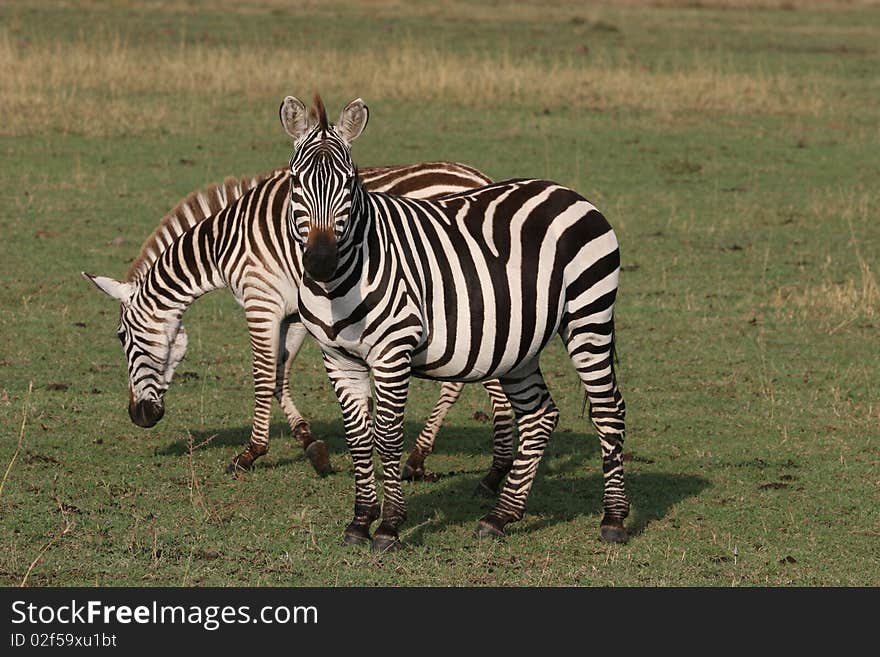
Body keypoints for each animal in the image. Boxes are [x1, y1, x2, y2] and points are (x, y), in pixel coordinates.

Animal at [82, 161, 516, 482]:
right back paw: (421, 458)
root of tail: (481, 178)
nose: (138, 417)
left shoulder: (261, 301)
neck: (225, 244)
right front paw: (314, 447)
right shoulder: (293, 313)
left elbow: (262, 375)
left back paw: (493, 470)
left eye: (122, 337)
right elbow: (279, 375)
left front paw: (249, 454)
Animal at [278, 96, 628, 548]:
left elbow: (387, 436)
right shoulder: (338, 357)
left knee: (608, 410)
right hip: (519, 341)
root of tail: (568, 192)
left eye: (350, 184)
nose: (320, 261)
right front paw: (359, 521)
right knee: (540, 415)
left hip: (589, 313)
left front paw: (389, 526)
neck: (340, 283)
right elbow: (358, 439)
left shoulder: (393, 350)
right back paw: (500, 516)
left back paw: (614, 519)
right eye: (296, 183)